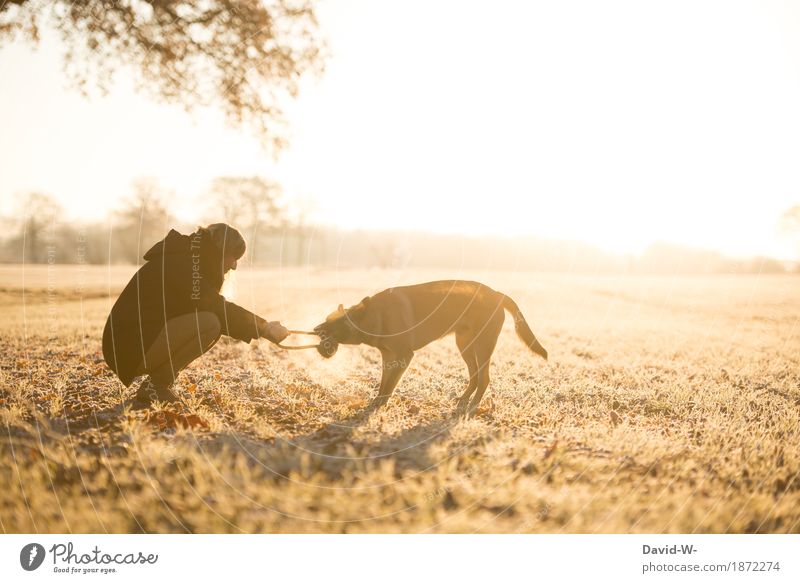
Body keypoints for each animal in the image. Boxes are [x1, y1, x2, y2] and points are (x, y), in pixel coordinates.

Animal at [314, 280, 552, 418]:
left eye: (335, 324)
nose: (315, 329)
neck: (375, 315)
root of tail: (496, 293)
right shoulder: (389, 357)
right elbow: (384, 383)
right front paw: (376, 402)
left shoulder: (404, 356)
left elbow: (390, 385)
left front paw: (380, 406)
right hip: (465, 345)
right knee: (475, 376)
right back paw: (464, 400)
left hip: (483, 345)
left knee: (484, 378)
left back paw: (473, 407)